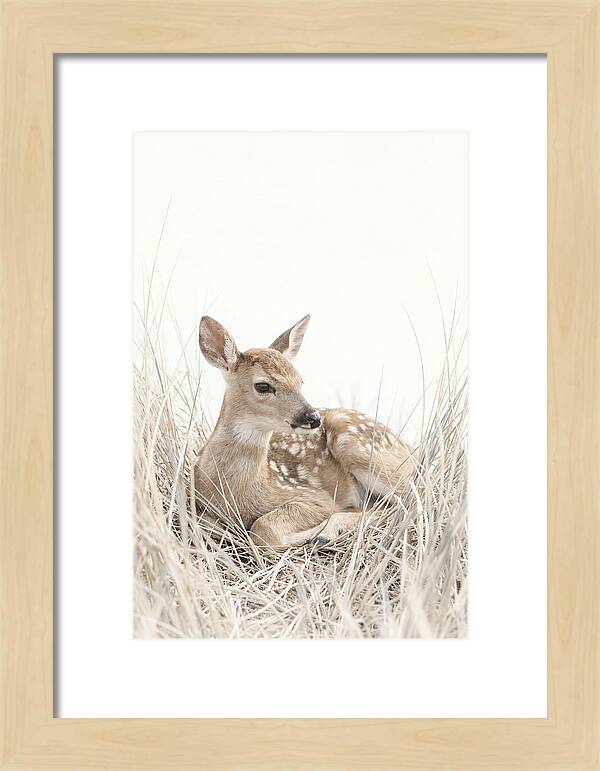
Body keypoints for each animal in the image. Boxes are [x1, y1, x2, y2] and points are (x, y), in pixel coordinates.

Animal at [194, 314, 415, 551]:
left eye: (300, 381)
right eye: (263, 386)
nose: (313, 417)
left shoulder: (313, 496)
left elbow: (263, 529)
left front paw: (312, 534)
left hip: (357, 446)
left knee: (409, 501)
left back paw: (326, 533)